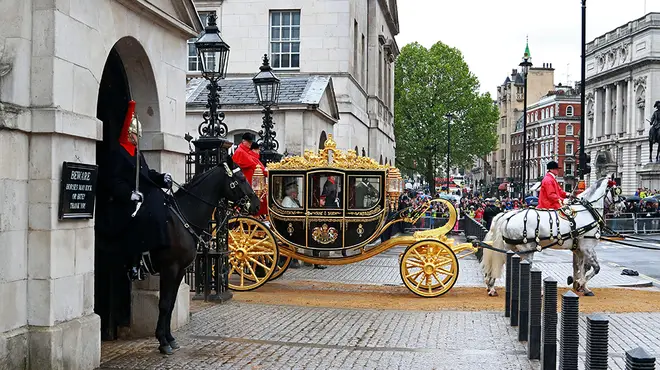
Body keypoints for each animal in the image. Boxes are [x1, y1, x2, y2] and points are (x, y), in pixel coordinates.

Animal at [480, 177, 620, 298]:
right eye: (616, 191)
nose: (622, 205)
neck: (587, 211)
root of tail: (507, 216)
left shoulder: (579, 249)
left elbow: (582, 268)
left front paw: (582, 286)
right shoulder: (587, 247)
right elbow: (595, 268)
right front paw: (581, 283)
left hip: (510, 247)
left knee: (500, 261)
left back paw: (491, 286)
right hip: (526, 248)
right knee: (525, 266)